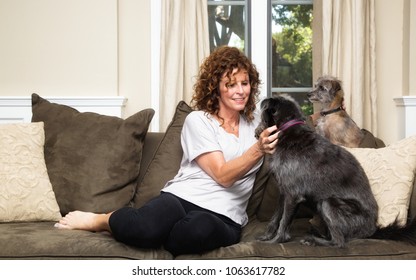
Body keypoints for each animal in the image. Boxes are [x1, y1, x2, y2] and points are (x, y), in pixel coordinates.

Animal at [255, 95, 416, 246]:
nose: (257, 133)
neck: (288, 130)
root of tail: (372, 230)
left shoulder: (293, 195)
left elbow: (283, 221)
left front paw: (276, 241)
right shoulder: (283, 191)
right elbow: (275, 217)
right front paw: (267, 237)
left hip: (328, 203)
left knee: (339, 241)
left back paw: (313, 241)